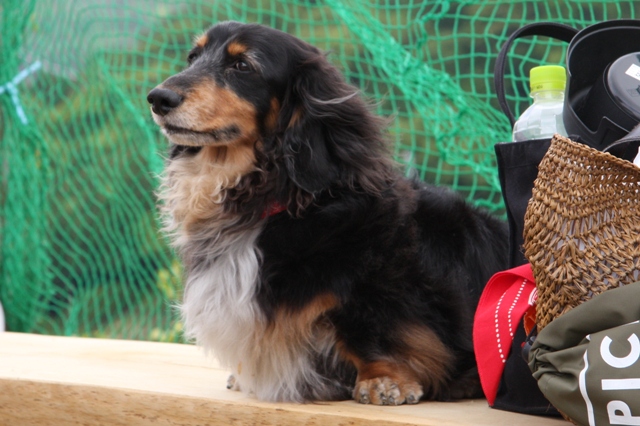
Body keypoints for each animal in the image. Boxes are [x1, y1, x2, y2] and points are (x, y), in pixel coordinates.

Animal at [147, 21, 508, 405]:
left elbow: (368, 329)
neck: (272, 201)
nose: (158, 98)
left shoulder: (376, 289)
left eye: (243, 66)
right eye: (193, 57)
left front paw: (383, 379)